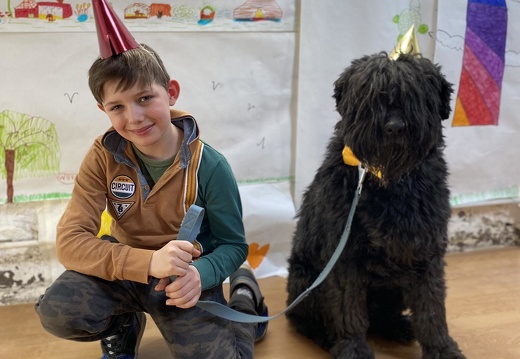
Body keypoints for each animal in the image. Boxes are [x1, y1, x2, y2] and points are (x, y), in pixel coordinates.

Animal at [284, 52, 468, 359]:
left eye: (414, 96)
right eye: (369, 96)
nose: (394, 127)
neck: (390, 184)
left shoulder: (427, 252)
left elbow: (431, 310)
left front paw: (442, 349)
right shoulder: (345, 256)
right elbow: (348, 309)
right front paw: (353, 349)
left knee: (384, 317)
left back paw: (399, 326)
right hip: (305, 280)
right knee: (302, 319)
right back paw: (325, 337)